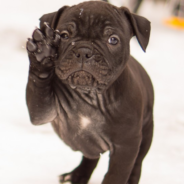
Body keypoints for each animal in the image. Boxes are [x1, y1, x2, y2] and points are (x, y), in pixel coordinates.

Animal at [25, 0, 153, 183]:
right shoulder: (42, 111)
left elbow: (115, 176)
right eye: (64, 36)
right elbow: (38, 86)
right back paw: (77, 175)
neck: (89, 94)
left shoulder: (125, 147)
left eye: (113, 40)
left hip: (145, 136)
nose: (84, 51)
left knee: (137, 165)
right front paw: (42, 52)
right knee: (91, 157)